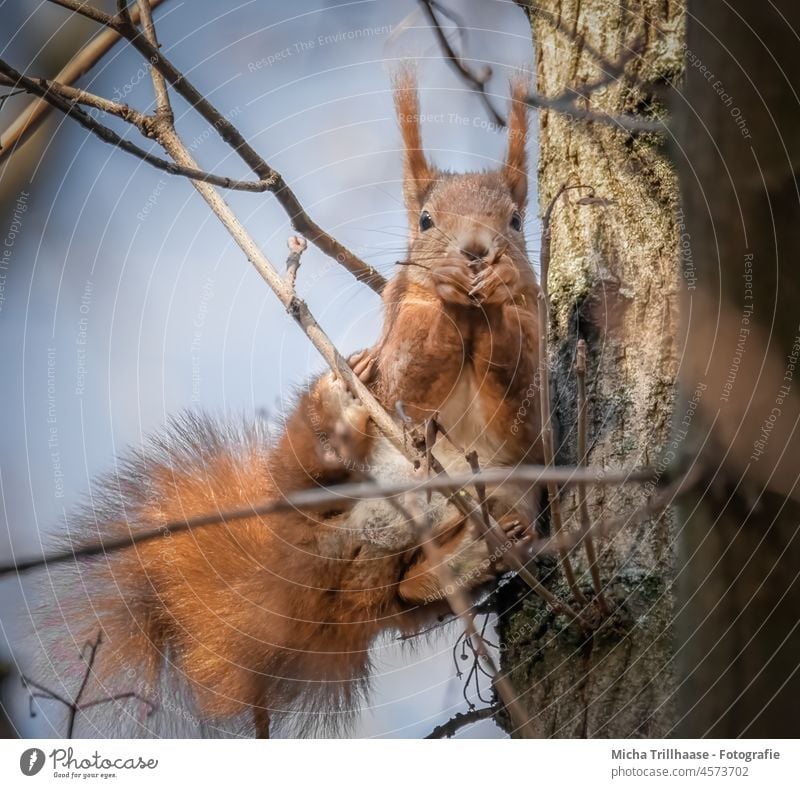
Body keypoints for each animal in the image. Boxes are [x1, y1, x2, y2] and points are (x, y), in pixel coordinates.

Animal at [42, 71, 544, 736]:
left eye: (514, 220)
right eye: (425, 221)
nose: (476, 251)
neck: (470, 320)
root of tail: (321, 574)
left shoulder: (531, 395)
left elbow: (519, 385)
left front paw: (496, 294)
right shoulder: (400, 355)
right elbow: (408, 368)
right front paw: (440, 298)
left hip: (504, 499)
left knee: (407, 597)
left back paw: (469, 558)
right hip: (300, 484)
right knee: (304, 477)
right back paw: (334, 418)